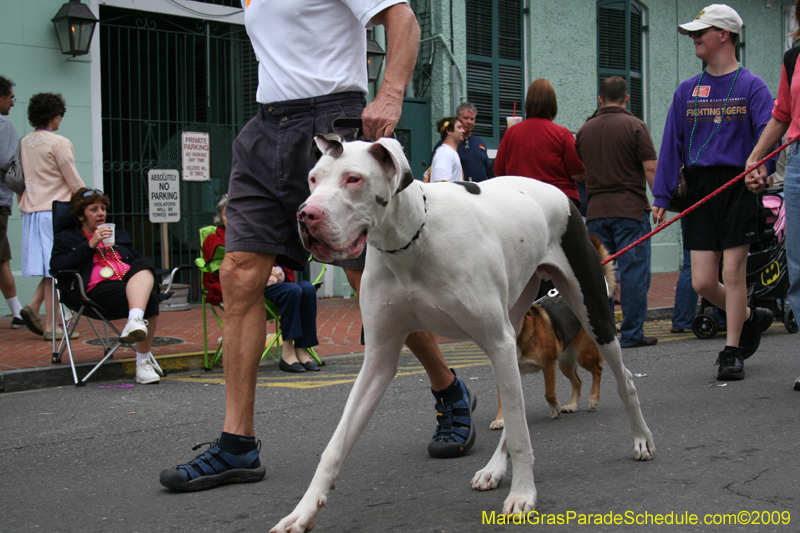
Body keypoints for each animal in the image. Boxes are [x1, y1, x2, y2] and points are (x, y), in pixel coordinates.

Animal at [272, 135, 652, 528]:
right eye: (313, 179)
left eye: (353, 179)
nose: (306, 215)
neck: (411, 242)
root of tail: (556, 191)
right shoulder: (379, 358)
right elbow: (335, 445)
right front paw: (303, 511)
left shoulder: (498, 342)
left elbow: (520, 433)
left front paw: (523, 494)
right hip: (512, 330)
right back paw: (495, 469)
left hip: (591, 314)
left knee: (624, 378)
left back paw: (640, 439)